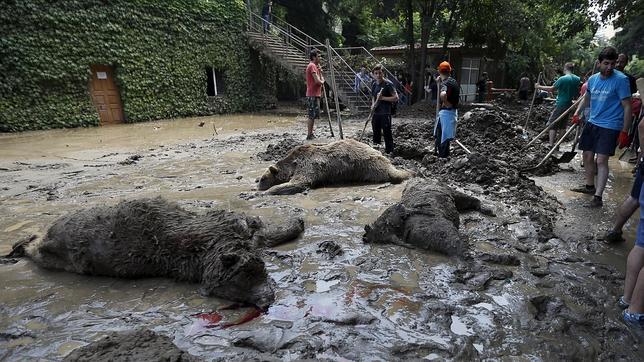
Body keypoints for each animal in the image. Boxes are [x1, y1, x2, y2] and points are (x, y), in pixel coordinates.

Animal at [256, 139, 412, 195]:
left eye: (264, 179)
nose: (259, 186)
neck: (292, 164)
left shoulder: (308, 165)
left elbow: (300, 182)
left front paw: (268, 191)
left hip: (367, 165)